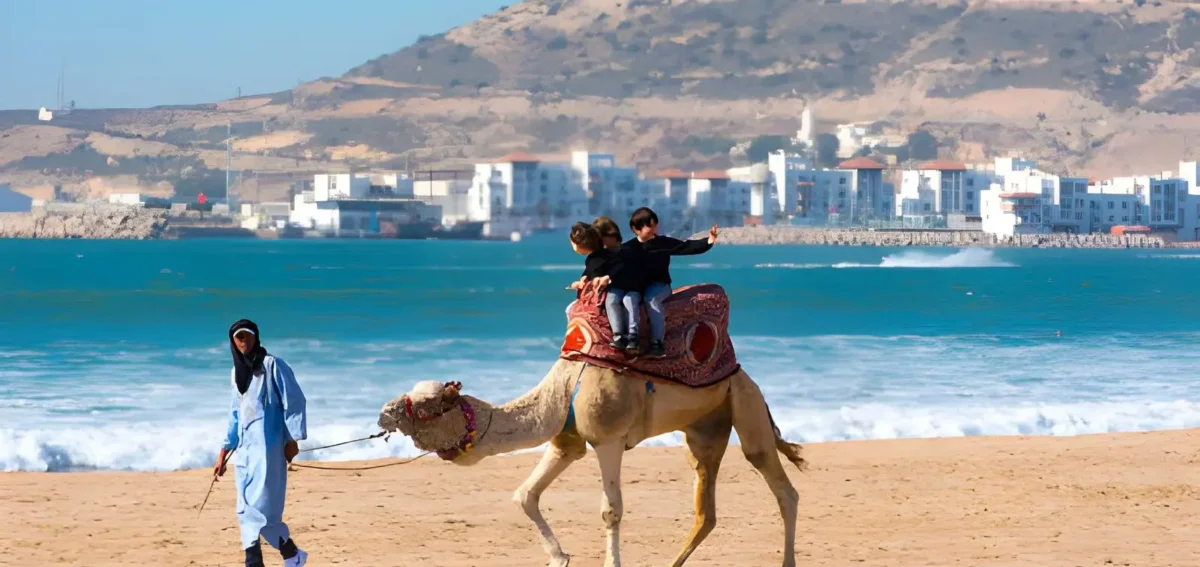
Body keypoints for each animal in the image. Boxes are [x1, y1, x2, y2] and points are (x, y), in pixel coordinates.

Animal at [377, 358, 807, 567]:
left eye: (428, 407)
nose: (384, 414)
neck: (562, 390)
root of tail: (747, 377)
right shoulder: (566, 442)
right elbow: (525, 495)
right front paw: (559, 558)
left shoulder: (609, 439)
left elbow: (611, 510)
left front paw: (609, 563)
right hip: (703, 430)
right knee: (707, 510)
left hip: (745, 404)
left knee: (780, 485)